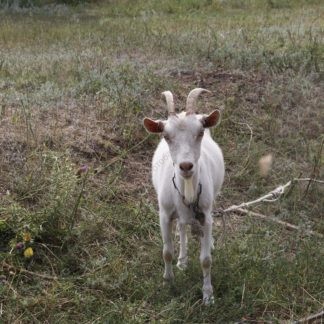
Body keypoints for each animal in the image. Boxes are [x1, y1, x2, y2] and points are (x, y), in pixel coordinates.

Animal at [143, 88, 224, 304]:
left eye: (200, 132)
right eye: (165, 135)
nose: (186, 166)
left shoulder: (204, 216)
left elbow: (206, 260)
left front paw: (208, 295)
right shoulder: (164, 214)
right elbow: (167, 252)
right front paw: (168, 282)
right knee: (181, 226)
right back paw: (182, 260)